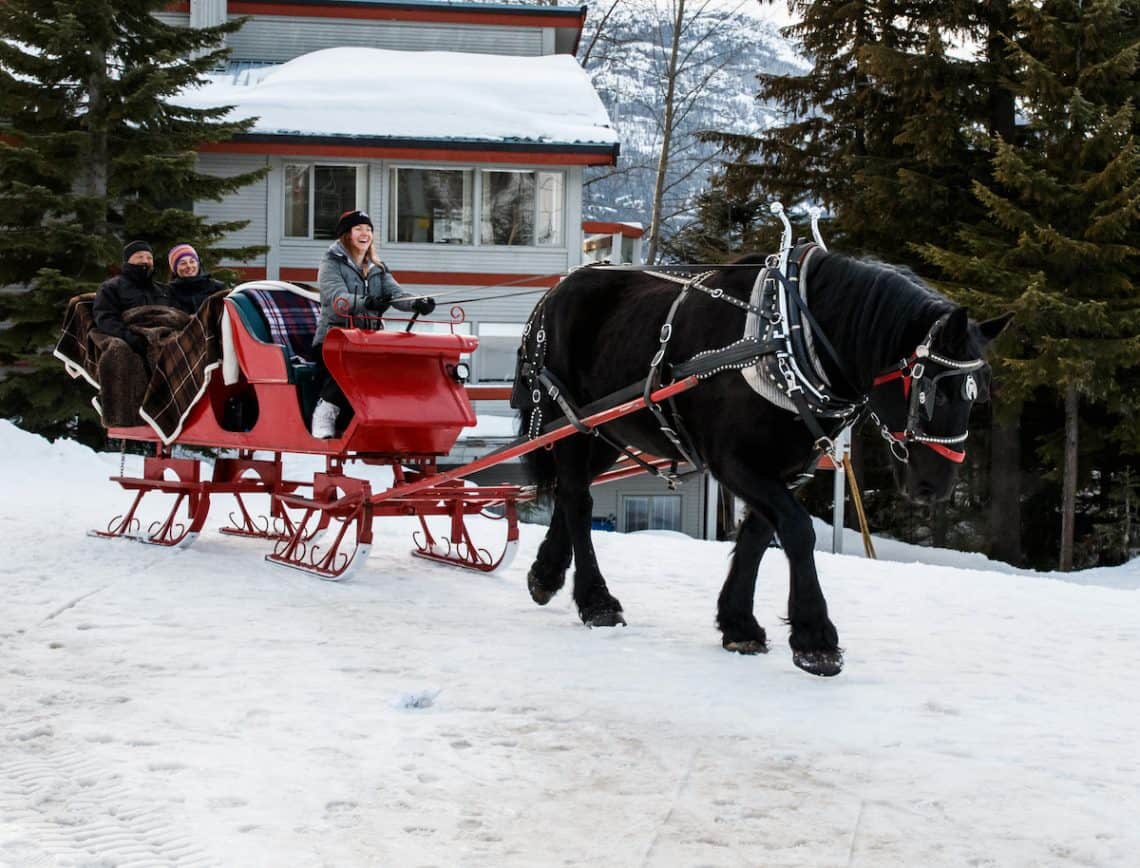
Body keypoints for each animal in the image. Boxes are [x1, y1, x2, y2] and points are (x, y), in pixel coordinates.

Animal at [513, 247, 1012, 675]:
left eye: (979, 393)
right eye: (933, 390)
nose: (936, 484)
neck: (788, 342)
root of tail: (554, 292)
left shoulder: (788, 467)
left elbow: (756, 535)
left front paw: (739, 624)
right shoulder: (733, 461)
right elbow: (796, 530)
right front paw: (815, 638)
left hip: (606, 433)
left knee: (569, 494)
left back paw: (546, 573)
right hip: (568, 420)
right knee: (578, 499)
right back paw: (596, 600)